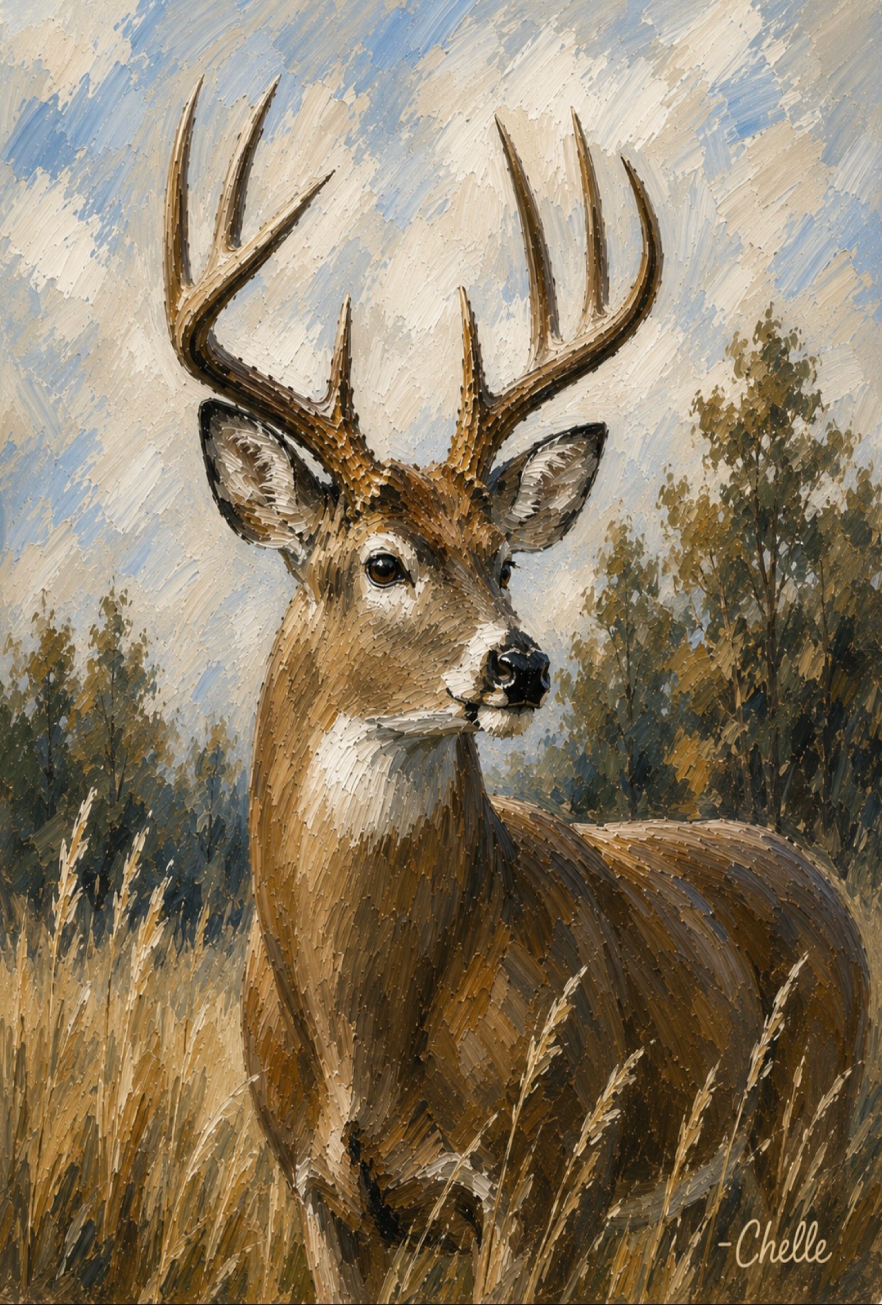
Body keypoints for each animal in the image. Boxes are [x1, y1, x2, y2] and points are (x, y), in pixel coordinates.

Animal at [164, 80, 869, 1303]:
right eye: (385, 562)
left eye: (504, 561)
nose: (520, 664)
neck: (363, 1034)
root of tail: (821, 879)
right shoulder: (319, 1196)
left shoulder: (547, 1181)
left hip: (816, 1139)